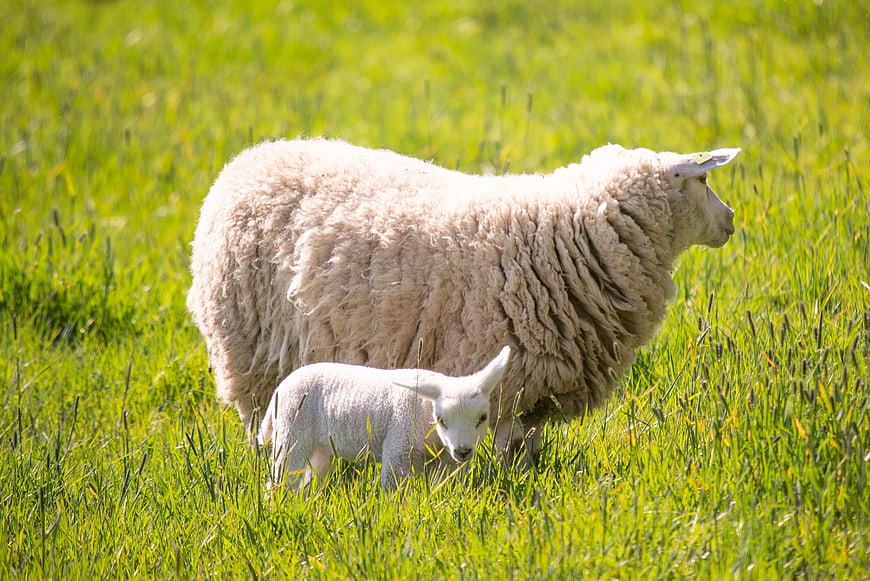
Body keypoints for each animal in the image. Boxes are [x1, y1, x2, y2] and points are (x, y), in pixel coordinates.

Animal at [187, 138, 740, 462]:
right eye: (704, 180)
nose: (733, 220)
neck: (566, 234)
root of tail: (250, 159)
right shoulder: (494, 374)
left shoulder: (532, 389)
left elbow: (525, 448)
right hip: (248, 350)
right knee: (262, 420)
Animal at [257, 346, 511, 490]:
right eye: (441, 420)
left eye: (482, 418)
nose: (463, 451)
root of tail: (282, 386)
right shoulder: (398, 448)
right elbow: (394, 492)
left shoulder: (447, 462)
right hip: (292, 432)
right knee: (282, 477)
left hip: (320, 446)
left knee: (308, 479)